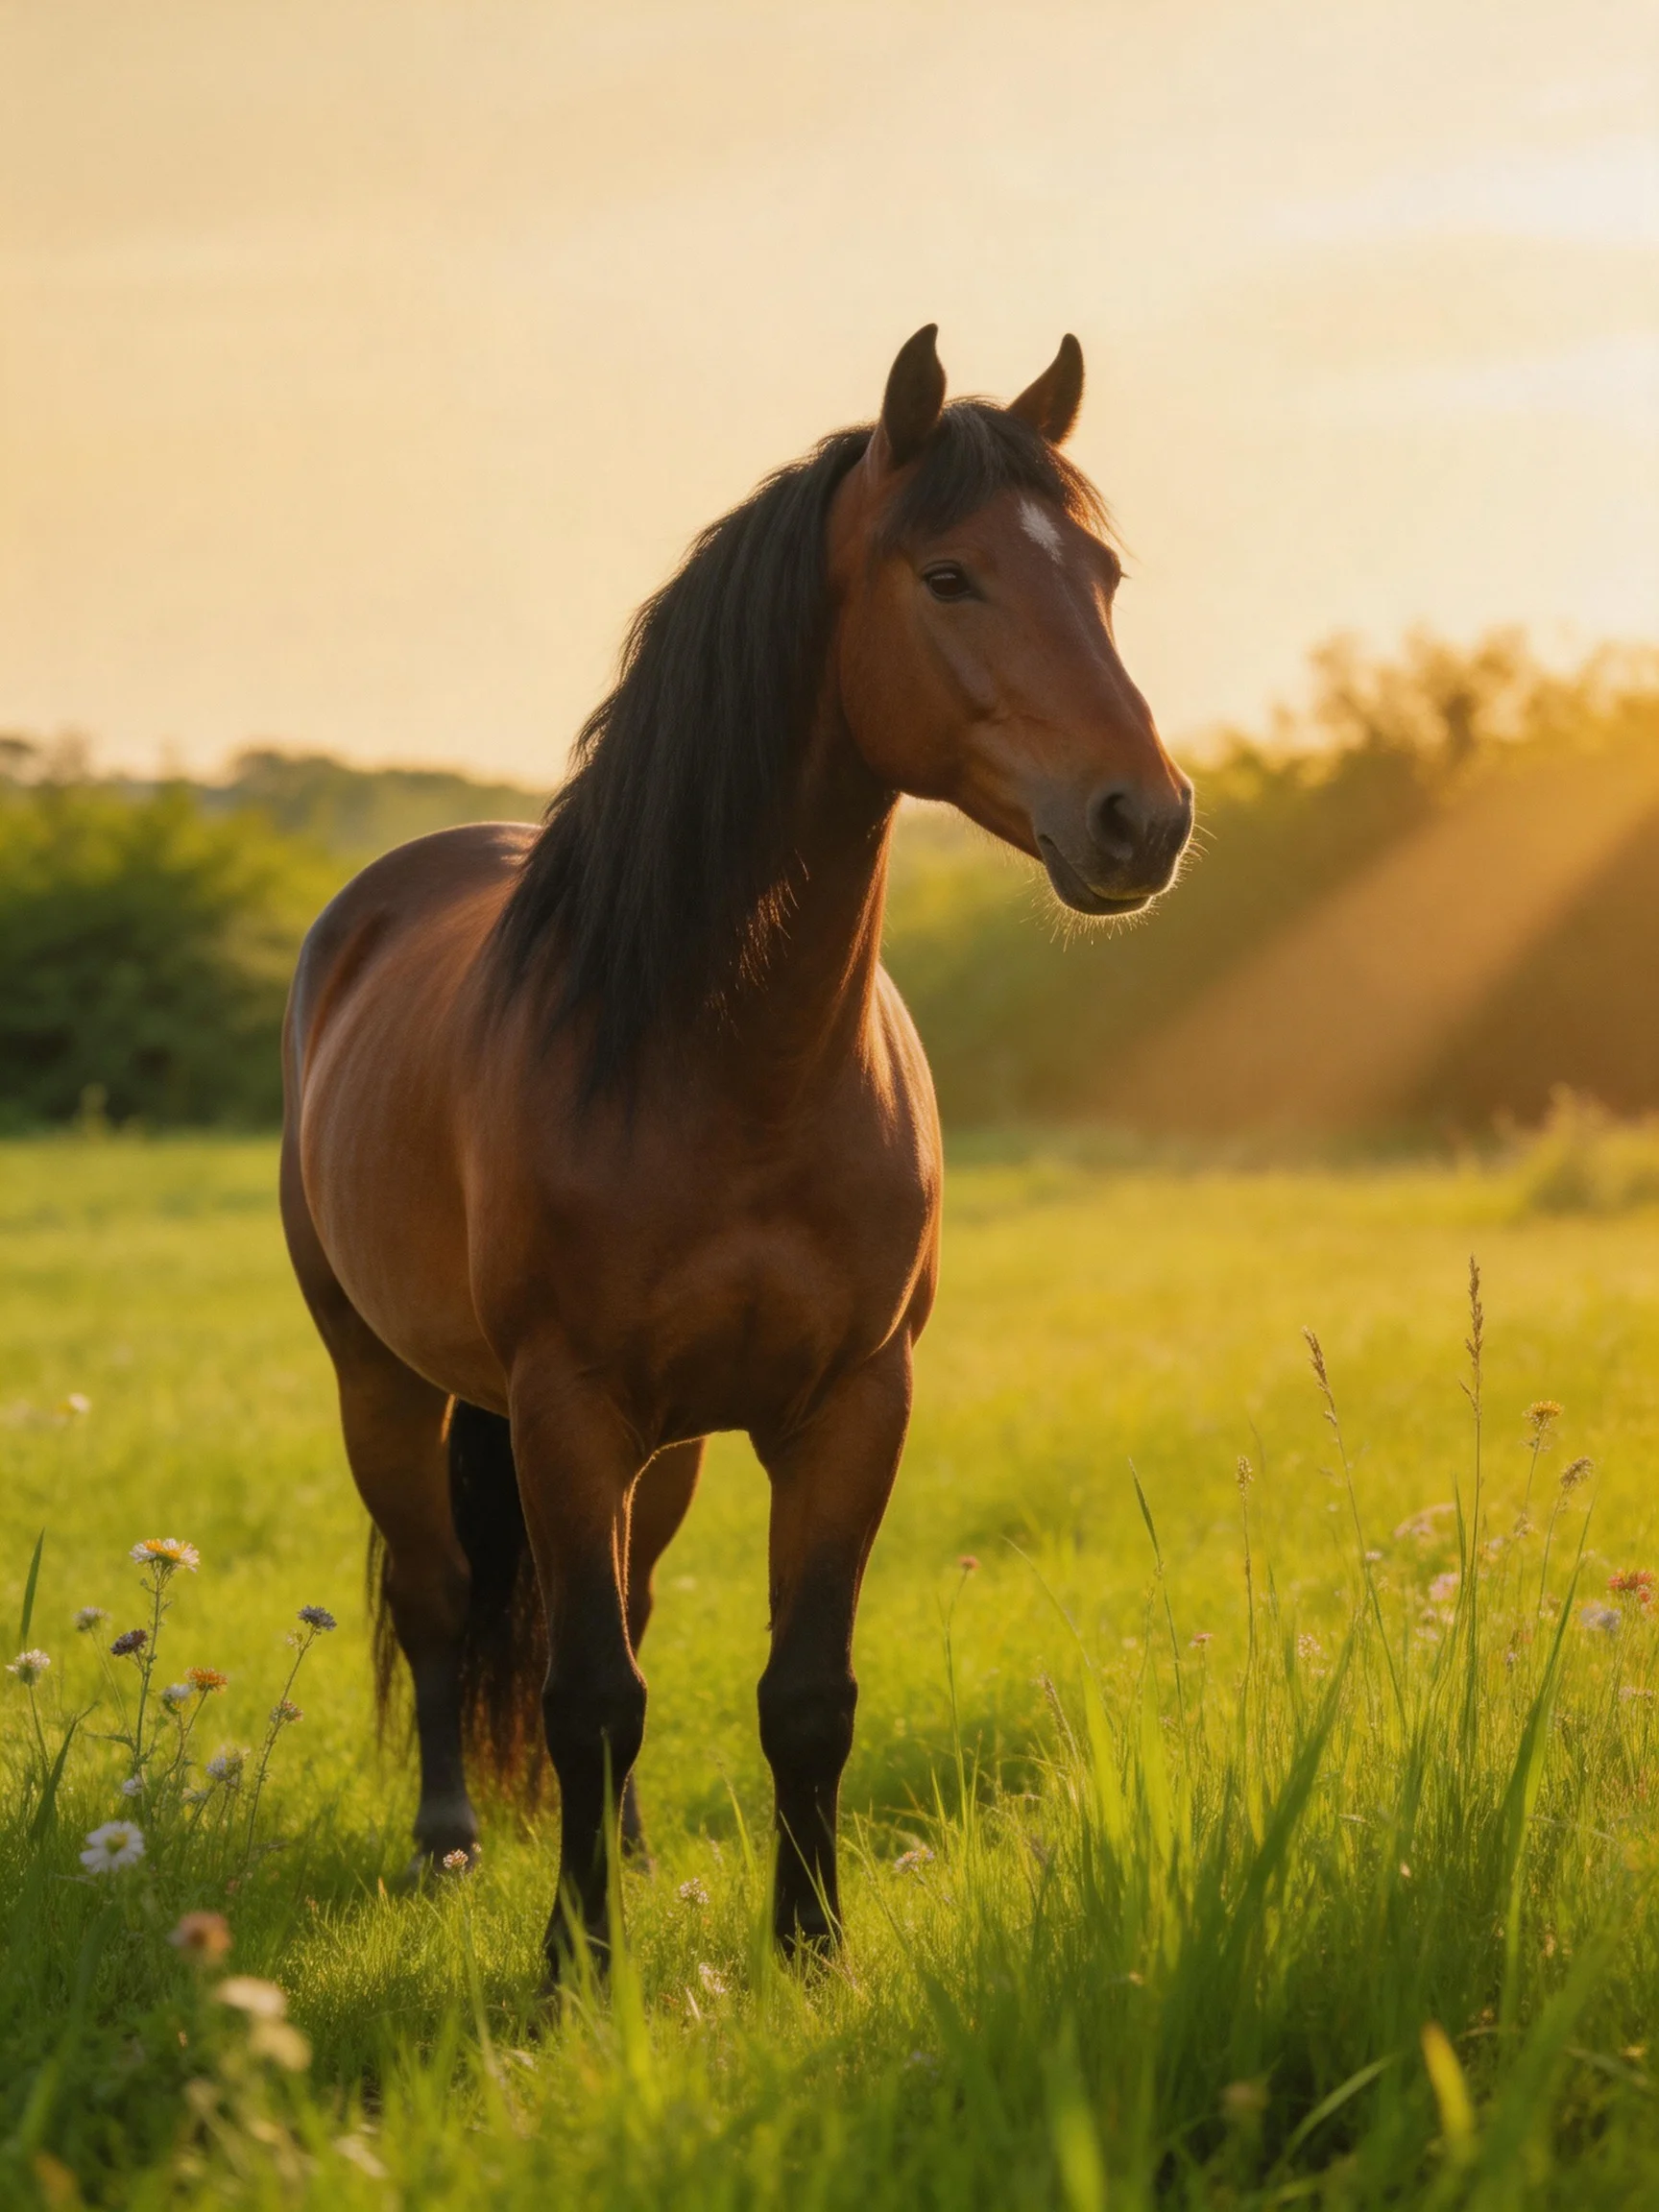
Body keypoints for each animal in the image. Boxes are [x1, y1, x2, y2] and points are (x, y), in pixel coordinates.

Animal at [279, 326, 1193, 1980]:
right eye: (948, 576)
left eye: (1099, 575)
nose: (1141, 821)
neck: (737, 1065)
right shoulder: (566, 1406)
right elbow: (585, 1694)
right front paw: (574, 1968)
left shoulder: (849, 1405)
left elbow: (800, 1696)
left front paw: (811, 1947)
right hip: (380, 1378)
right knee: (444, 1605)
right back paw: (448, 1845)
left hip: (673, 1443)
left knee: (630, 1602)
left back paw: (633, 1852)